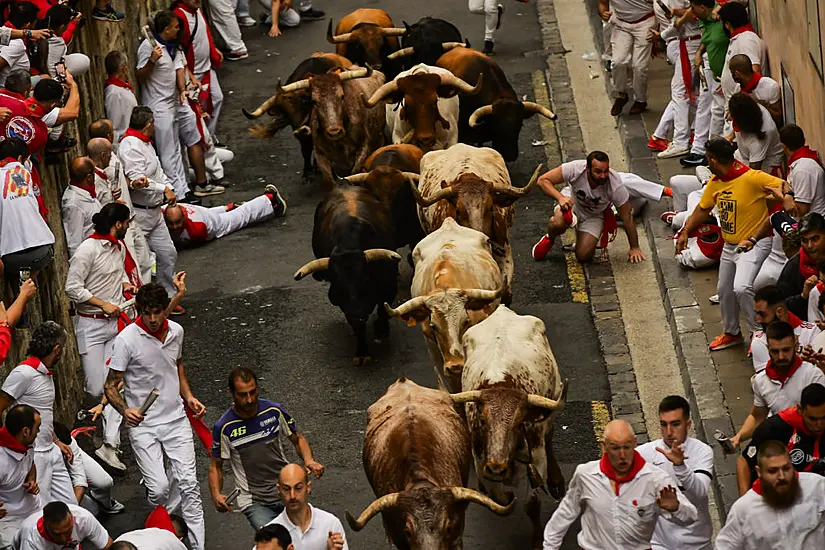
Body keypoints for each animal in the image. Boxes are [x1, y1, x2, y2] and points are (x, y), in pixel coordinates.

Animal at [450, 308, 568, 548]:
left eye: (519, 423)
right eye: (482, 420)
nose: (497, 468)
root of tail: (502, 310)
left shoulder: (536, 458)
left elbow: (531, 503)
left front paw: (537, 542)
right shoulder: (480, 462)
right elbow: (498, 496)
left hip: (551, 400)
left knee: (549, 435)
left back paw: (555, 481)